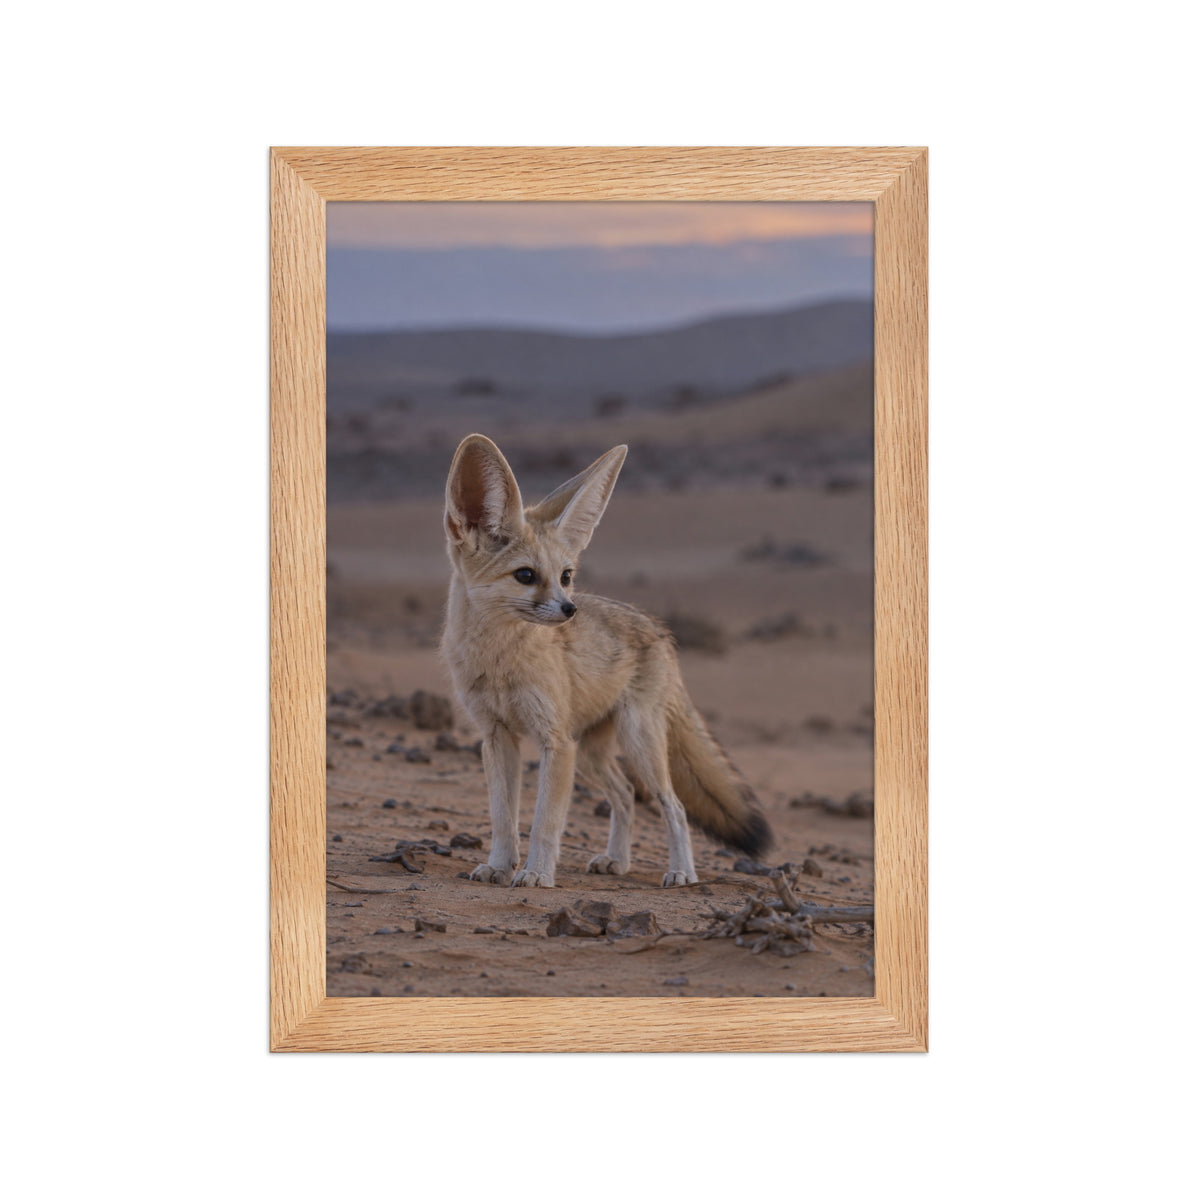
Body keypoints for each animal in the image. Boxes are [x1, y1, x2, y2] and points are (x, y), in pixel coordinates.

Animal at [440, 434, 771, 888]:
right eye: (525, 576)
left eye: (566, 576)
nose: (570, 610)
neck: (500, 661)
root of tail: (658, 629)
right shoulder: (496, 736)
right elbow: (502, 818)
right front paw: (499, 866)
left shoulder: (555, 742)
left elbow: (545, 822)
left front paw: (536, 873)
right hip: (591, 754)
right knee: (626, 795)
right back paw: (618, 860)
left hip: (636, 743)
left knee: (673, 805)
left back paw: (682, 872)